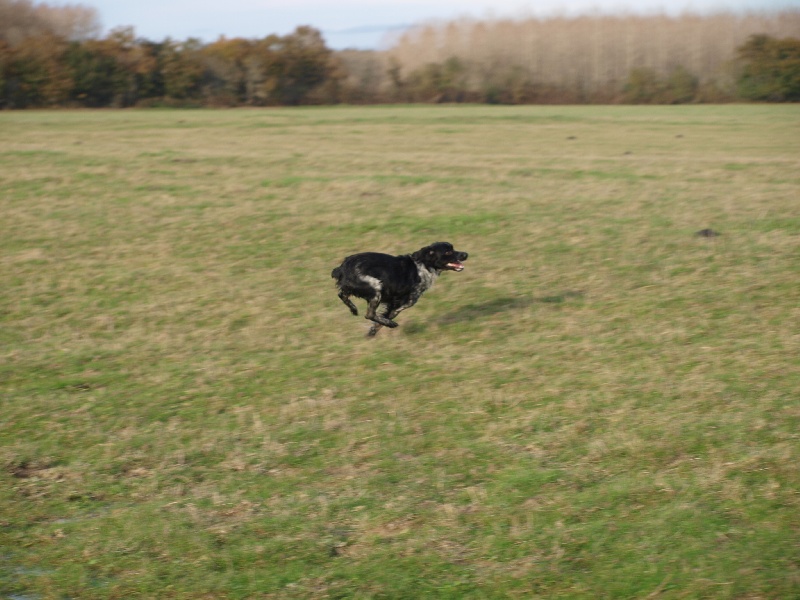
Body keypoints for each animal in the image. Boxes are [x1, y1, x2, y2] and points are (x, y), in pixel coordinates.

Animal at [332, 244, 468, 338]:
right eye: (448, 251)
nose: (466, 254)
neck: (424, 265)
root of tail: (343, 267)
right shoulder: (402, 303)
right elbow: (383, 319)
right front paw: (382, 327)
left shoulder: (393, 304)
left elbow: (379, 322)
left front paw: (370, 334)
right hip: (376, 288)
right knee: (369, 314)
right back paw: (391, 324)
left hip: (355, 289)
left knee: (341, 295)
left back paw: (354, 309)